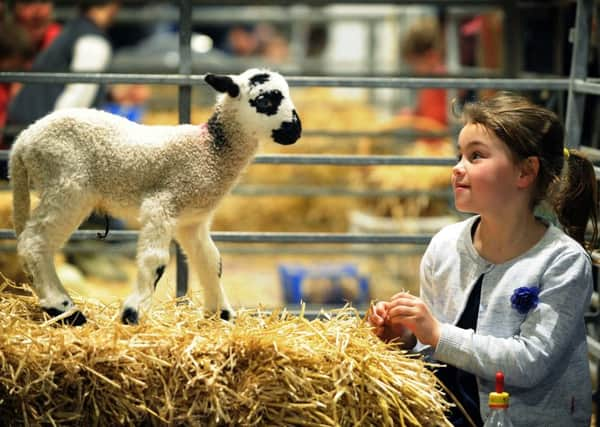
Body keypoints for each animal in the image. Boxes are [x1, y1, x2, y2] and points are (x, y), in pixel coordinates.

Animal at [7, 68, 302, 326]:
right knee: (34, 242)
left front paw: (220, 315)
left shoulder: (192, 221)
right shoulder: (162, 204)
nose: (295, 130)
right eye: (264, 100)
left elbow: (211, 261)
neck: (210, 150)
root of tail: (23, 142)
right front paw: (132, 314)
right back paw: (65, 310)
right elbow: (155, 261)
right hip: (67, 186)